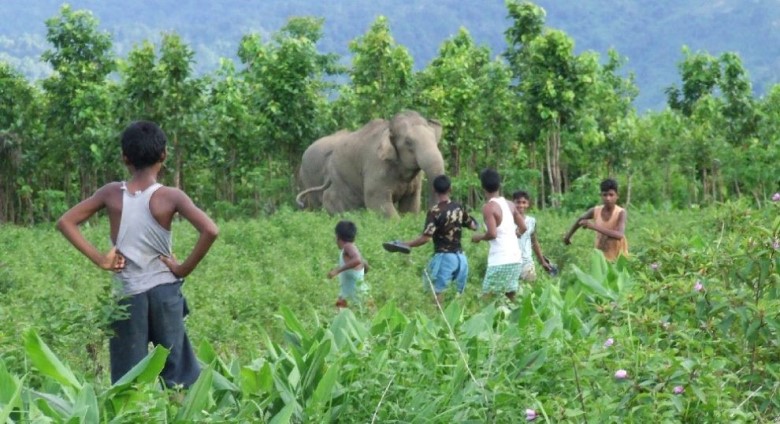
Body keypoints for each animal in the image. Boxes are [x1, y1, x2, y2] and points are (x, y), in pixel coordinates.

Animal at [296, 111, 444, 217]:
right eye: (408, 142)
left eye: (434, 138)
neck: (387, 128)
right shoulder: (376, 167)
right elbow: (377, 202)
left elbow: (411, 203)